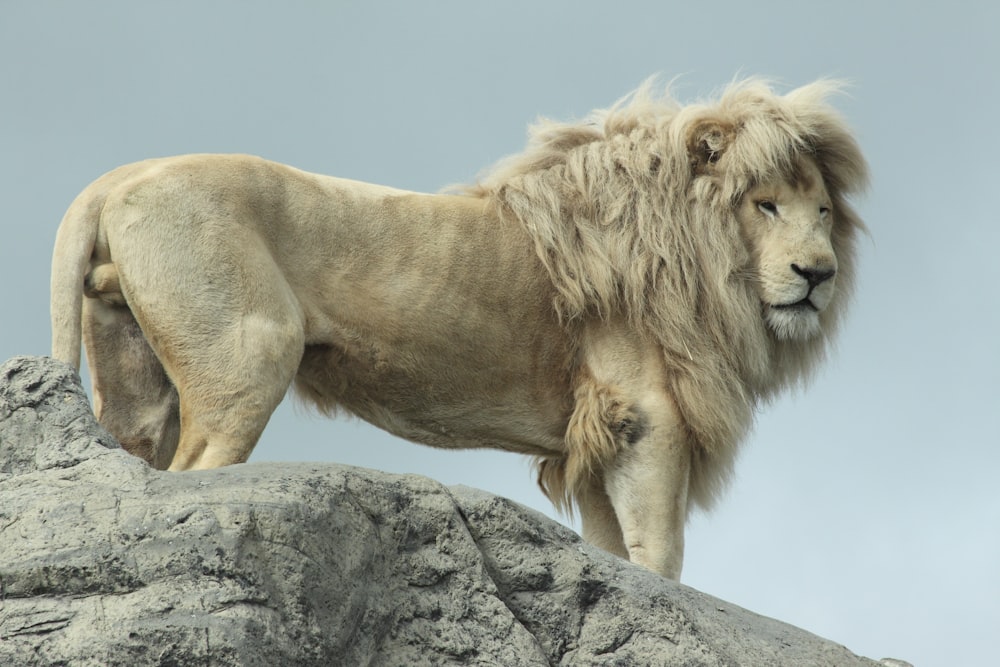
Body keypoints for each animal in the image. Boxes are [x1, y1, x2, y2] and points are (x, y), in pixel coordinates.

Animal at [50, 77, 868, 580]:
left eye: (823, 211)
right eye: (765, 205)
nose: (818, 273)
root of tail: (116, 178)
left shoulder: (595, 432)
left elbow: (612, 548)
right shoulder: (645, 414)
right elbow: (660, 551)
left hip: (136, 374)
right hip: (250, 355)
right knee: (196, 471)